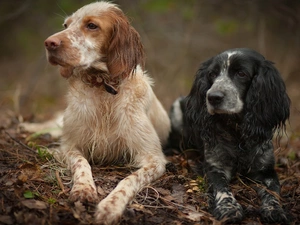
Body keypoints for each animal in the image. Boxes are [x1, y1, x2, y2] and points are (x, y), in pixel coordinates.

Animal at [34, 1, 170, 223]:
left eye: (91, 26)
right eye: (66, 25)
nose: (48, 43)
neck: (102, 86)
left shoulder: (154, 159)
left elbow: (128, 180)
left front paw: (110, 206)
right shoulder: (69, 145)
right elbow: (82, 163)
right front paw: (83, 189)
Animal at [171, 48, 290, 223]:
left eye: (241, 73)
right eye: (212, 74)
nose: (212, 97)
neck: (237, 132)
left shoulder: (265, 170)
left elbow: (273, 192)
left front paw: (274, 209)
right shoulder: (215, 166)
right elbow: (222, 188)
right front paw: (229, 208)